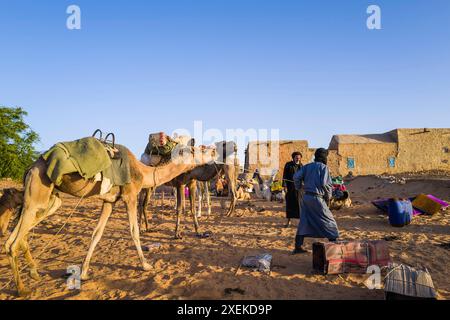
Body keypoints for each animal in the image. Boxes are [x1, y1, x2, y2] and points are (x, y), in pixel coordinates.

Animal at [0, 143, 218, 298]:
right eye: (199, 149)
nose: (215, 150)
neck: (143, 172)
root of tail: (30, 167)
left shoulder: (109, 201)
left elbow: (97, 234)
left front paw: (84, 272)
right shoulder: (130, 195)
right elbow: (133, 231)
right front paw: (146, 265)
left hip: (49, 199)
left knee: (17, 236)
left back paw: (34, 273)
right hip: (38, 191)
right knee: (12, 243)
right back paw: (22, 289)